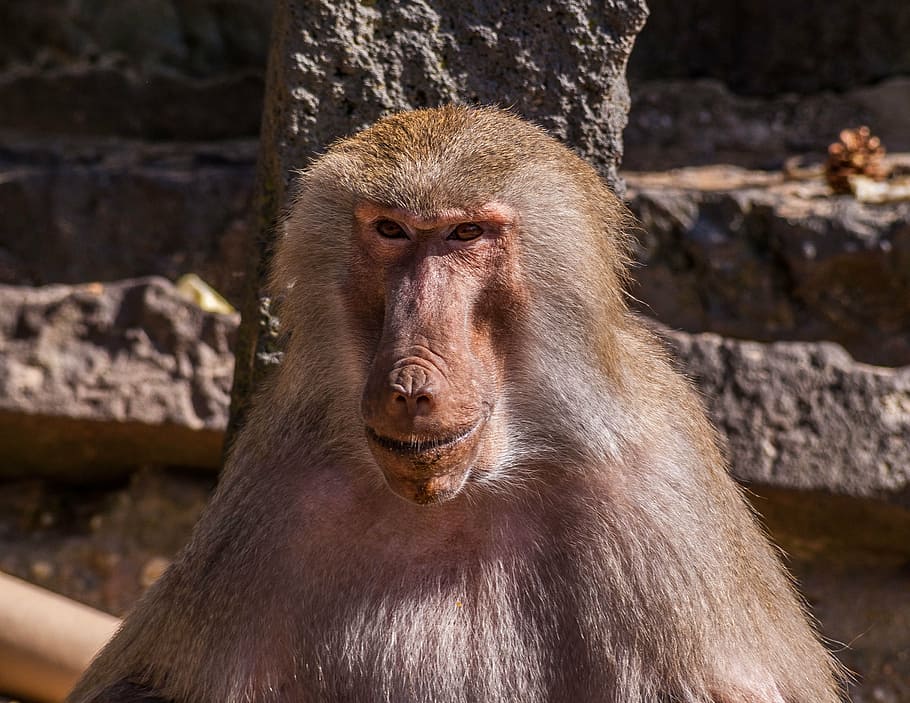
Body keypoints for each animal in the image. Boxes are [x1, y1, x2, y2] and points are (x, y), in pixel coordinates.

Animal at [68, 106, 843, 703]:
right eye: (390, 231)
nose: (411, 384)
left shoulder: (657, 488)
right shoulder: (279, 481)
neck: (472, 493)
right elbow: (143, 685)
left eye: (465, 234)